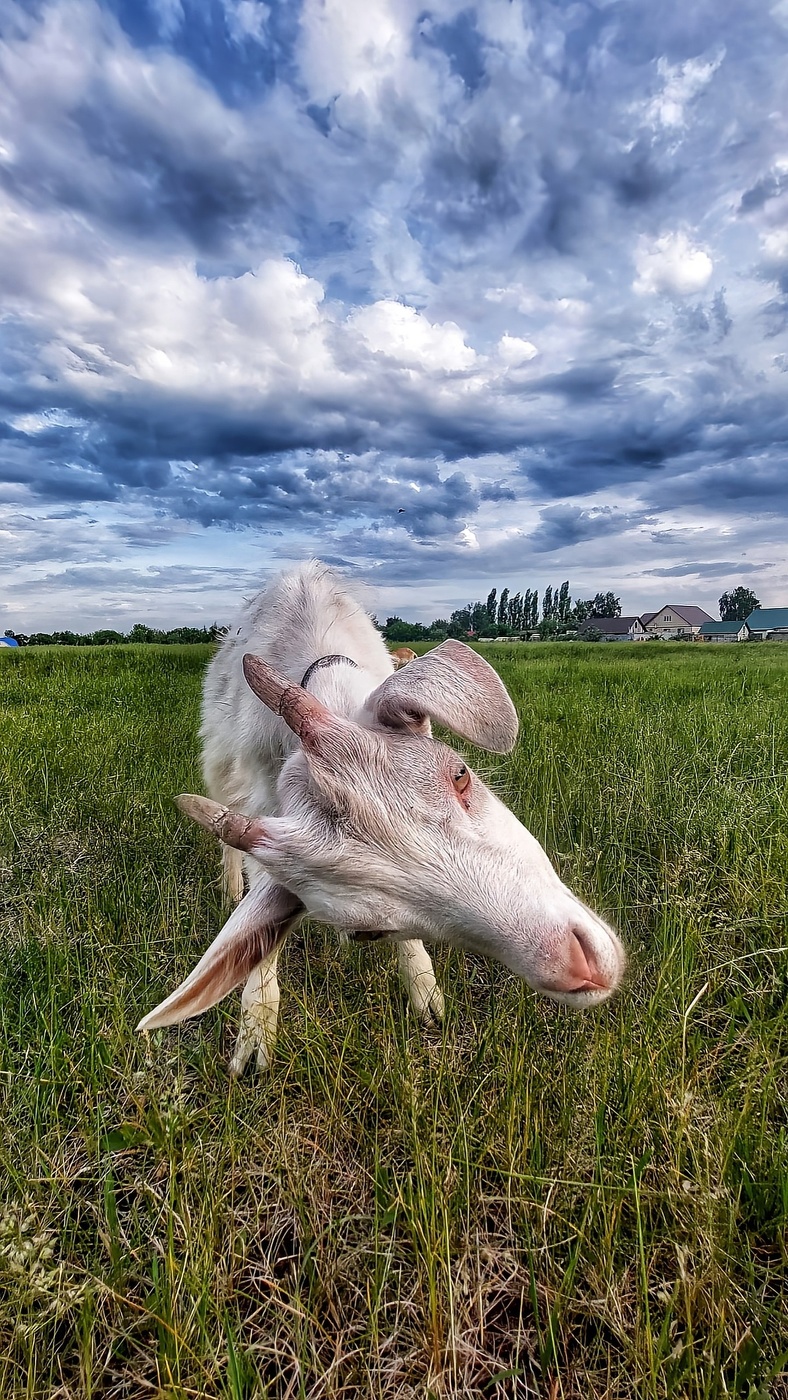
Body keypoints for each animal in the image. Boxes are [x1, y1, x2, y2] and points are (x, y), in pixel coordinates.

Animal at [138, 561, 625, 1073]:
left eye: (460, 775)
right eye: (367, 933)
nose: (581, 968)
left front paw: (426, 996)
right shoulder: (261, 796)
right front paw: (255, 1033)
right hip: (219, 763)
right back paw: (231, 888)